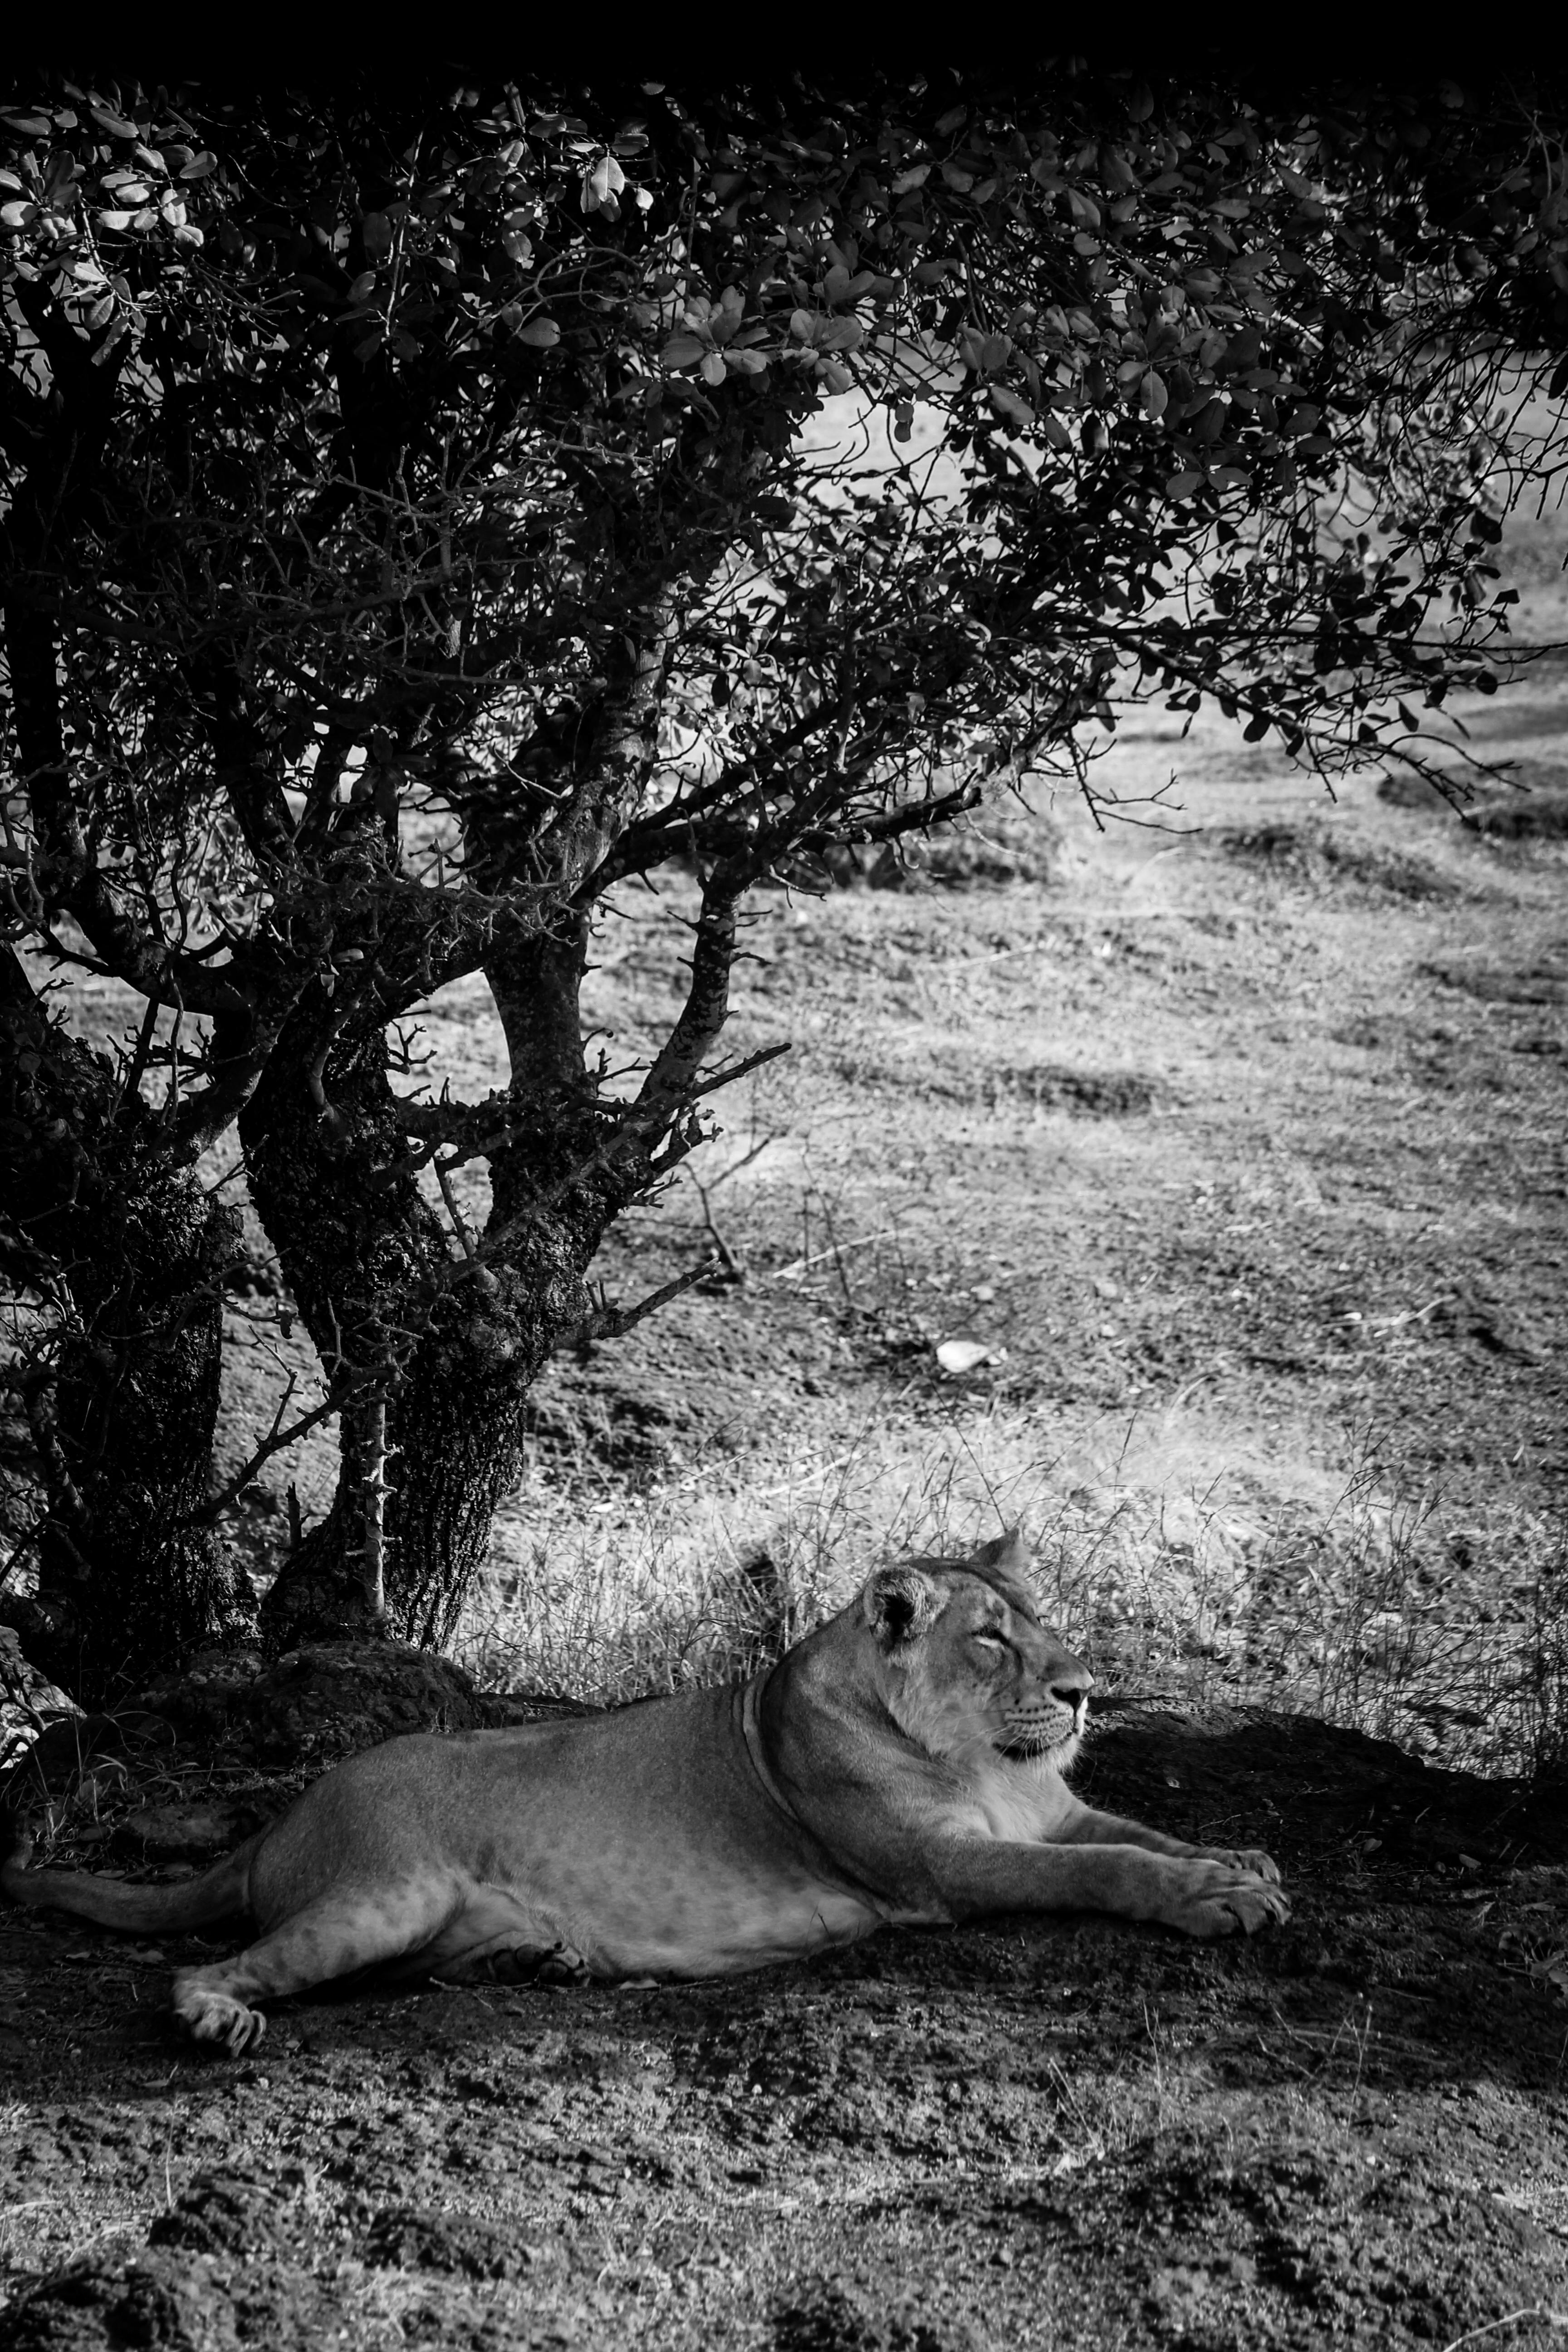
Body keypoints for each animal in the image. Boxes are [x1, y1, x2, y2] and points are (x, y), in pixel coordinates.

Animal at [0, 1533, 1287, 2054]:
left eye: (1042, 1618)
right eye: (988, 1639)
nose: (1083, 1690)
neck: (981, 1760)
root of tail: (285, 1811)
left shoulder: (1051, 1810)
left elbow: (1140, 1829)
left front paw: (1240, 1863)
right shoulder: (943, 1867)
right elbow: (1105, 1866)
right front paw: (1213, 1898)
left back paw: (540, 1963)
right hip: (379, 1893)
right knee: (206, 1970)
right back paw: (218, 2020)